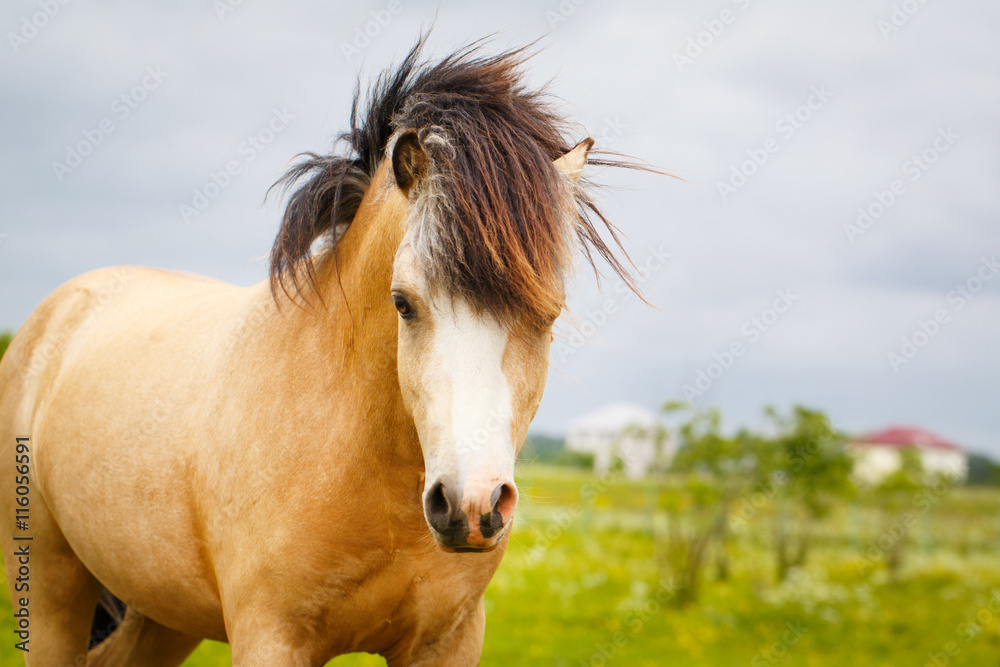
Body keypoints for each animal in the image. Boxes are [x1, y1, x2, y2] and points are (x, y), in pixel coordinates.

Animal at [0, 38, 643, 666]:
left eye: (549, 314)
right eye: (403, 303)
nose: (471, 506)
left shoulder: (448, 641)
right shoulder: (269, 638)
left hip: (161, 613)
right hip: (55, 590)